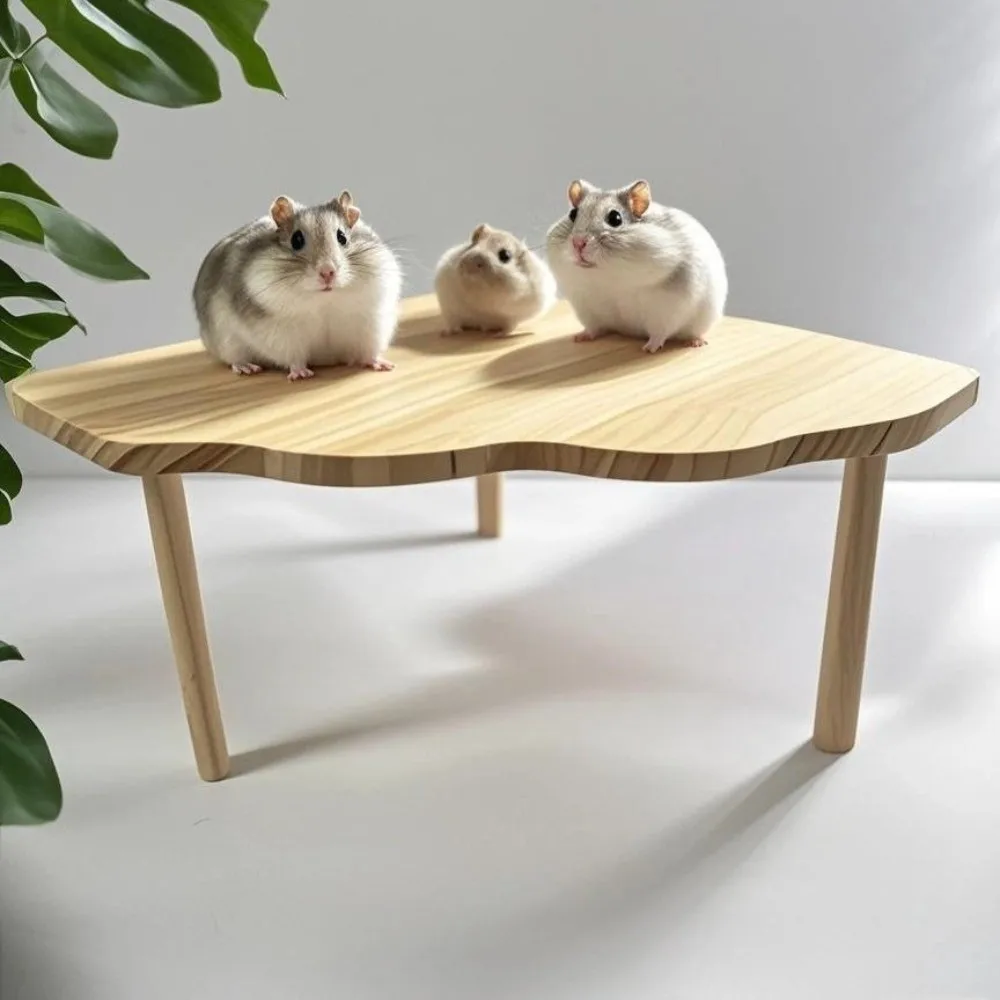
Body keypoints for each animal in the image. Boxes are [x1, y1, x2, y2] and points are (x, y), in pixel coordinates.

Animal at [193, 191, 402, 380]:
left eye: (342, 237)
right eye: (296, 240)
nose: (327, 273)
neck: (325, 301)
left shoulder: (370, 326)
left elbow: (368, 353)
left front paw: (385, 365)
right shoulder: (284, 335)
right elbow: (295, 358)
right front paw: (301, 375)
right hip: (227, 341)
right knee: (234, 359)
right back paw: (248, 368)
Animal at [546, 178, 727, 352]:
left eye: (615, 218)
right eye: (573, 214)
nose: (578, 243)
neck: (609, 277)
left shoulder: (668, 310)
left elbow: (659, 333)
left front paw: (648, 349)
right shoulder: (587, 308)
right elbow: (593, 328)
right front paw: (579, 338)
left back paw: (695, 342)